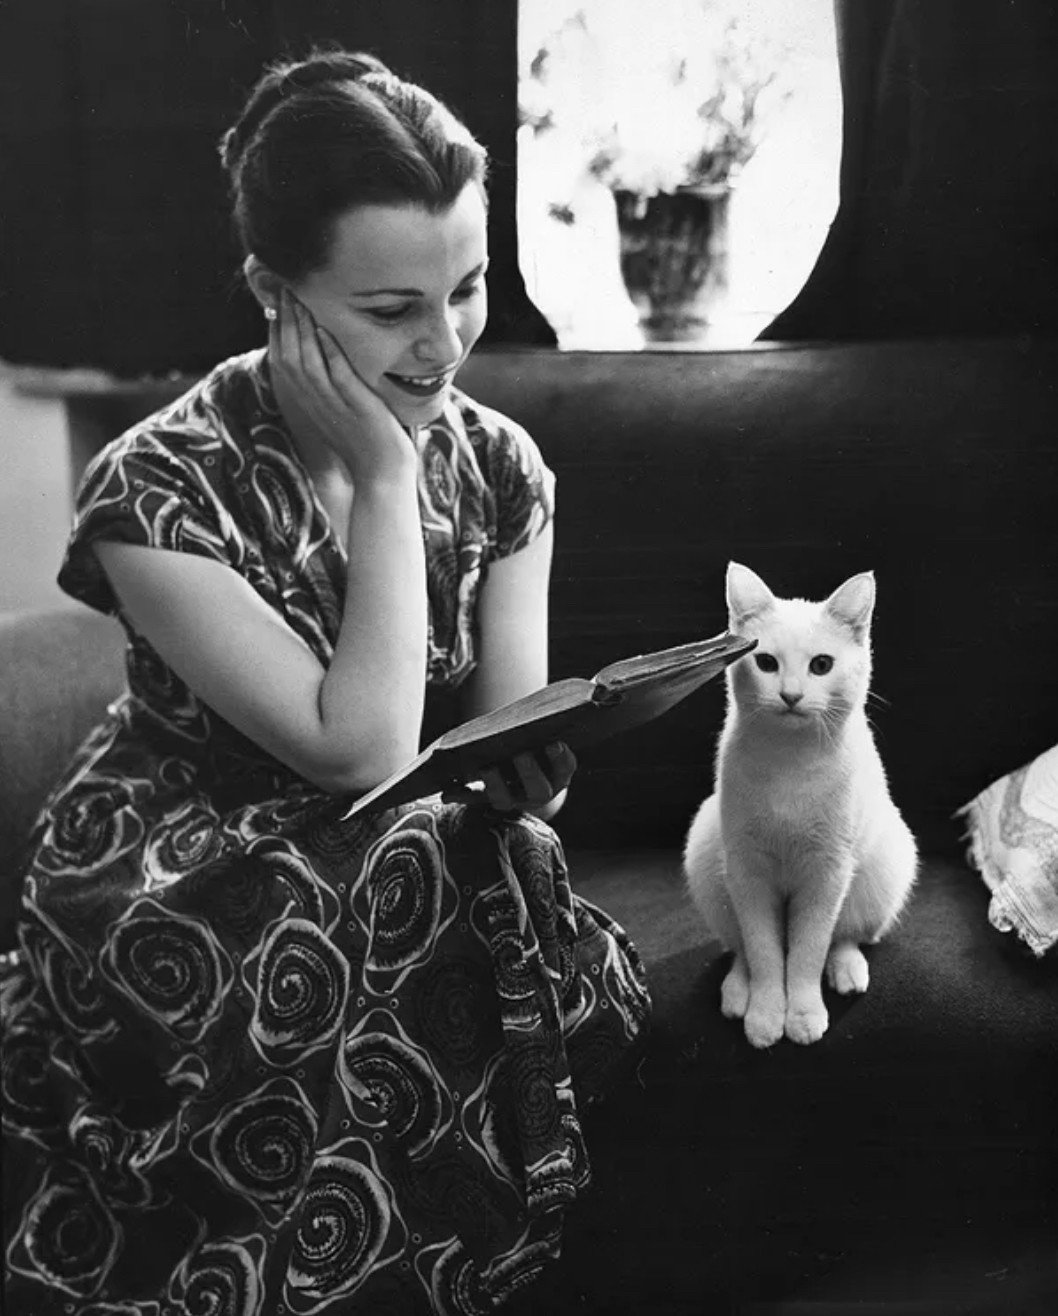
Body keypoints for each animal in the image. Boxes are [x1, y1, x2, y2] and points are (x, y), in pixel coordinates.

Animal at [684, 565, 915, 1047]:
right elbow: (765, 952)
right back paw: (738, 992)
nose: (790, 695)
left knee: (845, 935)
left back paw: (846, 969)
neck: (790, 760)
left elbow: (808, 950)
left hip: (887, 862)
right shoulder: (747, 871)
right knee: (741, 948)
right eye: (766, 663)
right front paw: (767, 1013)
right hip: (706, 854)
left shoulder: (827, 872)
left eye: (821, 665)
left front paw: (803, 1012)